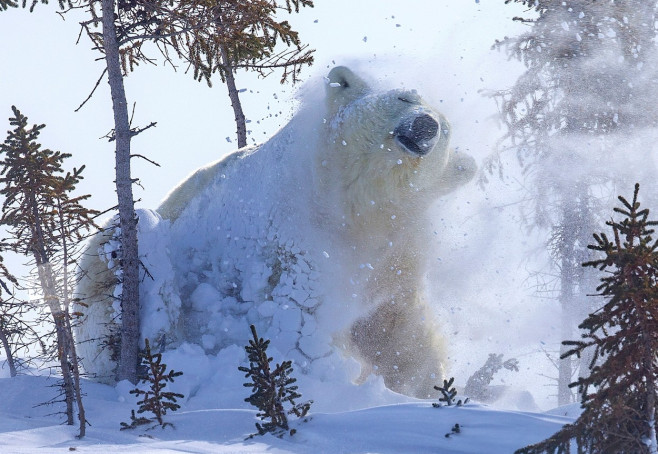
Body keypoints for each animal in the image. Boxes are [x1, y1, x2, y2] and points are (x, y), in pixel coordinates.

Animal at [74, 66, 474, 398]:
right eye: (403, 97)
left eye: (447, 131)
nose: (427, 125)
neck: (357, 206)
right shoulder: (299, 235)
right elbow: (300, 315)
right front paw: (335, 373)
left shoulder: (397, 251)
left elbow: (399, 326)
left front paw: (426, 385)